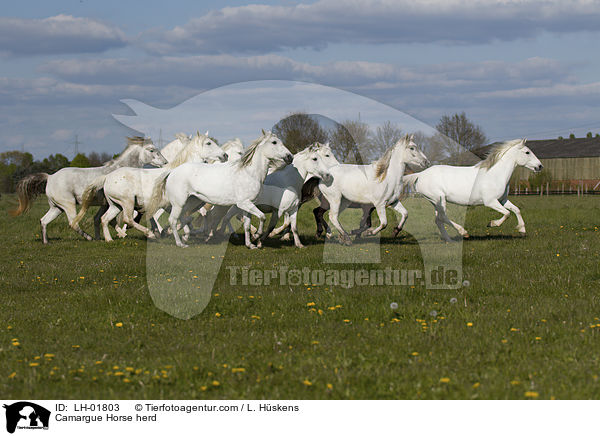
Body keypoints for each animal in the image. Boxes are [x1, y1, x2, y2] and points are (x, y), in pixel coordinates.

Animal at [11, 138, 166, 244]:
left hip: (56, 208)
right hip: (68, 205)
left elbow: (99, 219)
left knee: (44, 221)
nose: (164, 162)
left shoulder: (106, 204)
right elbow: (110, 220)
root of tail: (49, 177)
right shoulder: (111, 204)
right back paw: (89, 238)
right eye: (152, 150)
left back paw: (46, 242)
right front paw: (122, 234)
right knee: (73, 223)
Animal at [72, 133, 227, 242]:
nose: (225, 155)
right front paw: (167, 232)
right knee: (128, 219)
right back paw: (148, 233)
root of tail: (107, 177)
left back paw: (109, 239)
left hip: (115, 205)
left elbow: (187, 221)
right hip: (127, 202)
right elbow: (184, 221)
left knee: (104, 219)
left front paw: (174, 234)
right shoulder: (173, 205)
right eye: (208, 143)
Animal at [148, 130, 292, 249]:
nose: (289, 157)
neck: (249, 173)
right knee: (172, 220)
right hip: (179, 203)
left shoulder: (248, 205)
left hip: (191, 202)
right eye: (274, 142)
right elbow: (262, 217)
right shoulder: (244, 203)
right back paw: (180, 243)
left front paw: (250, 244)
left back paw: (184, 236)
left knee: (184, 218)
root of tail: (172, 171)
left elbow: (246, 225)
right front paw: (257, 235)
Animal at [406, 139, 540, 242]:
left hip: (435, 202)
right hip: (439, 199)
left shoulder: (502, 200)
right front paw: (492, 224)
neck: (495, 174)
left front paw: (522, 230)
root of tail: (420, 174)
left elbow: (516, 210)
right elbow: (507, 213)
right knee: (442, 217)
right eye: (527, 152)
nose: (540, 166)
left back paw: (449, 240)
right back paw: (463, 232)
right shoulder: (490, 202)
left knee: (438, 220)